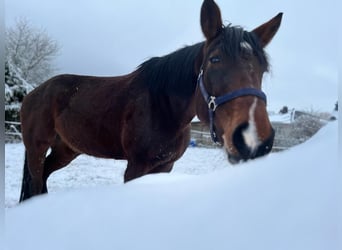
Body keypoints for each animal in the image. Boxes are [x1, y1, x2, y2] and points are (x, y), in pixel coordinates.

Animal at [18, 0, 282, 201]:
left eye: (263, 69)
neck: (163, 107)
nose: (253, 139)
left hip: (66, 150)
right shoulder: (136, 167)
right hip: (36, 148)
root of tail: (33, 93)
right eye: (214, 60)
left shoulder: (164, 168)